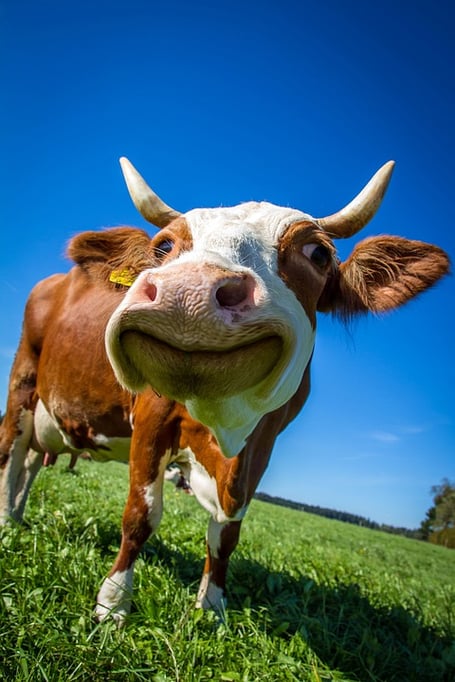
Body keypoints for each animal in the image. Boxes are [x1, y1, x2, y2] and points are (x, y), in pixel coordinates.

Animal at [0, 158, 449, 624]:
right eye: (164, 246)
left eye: (318, 254)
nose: (188, 292)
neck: (224, 425)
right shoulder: (151, 419)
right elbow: (141, 515)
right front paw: (113, 603)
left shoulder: (262, 445)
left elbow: (227, 532)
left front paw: (212, 606)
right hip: (22, 384)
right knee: (11, 455)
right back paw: (7, 523)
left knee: (30, 462)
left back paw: (19, 515)